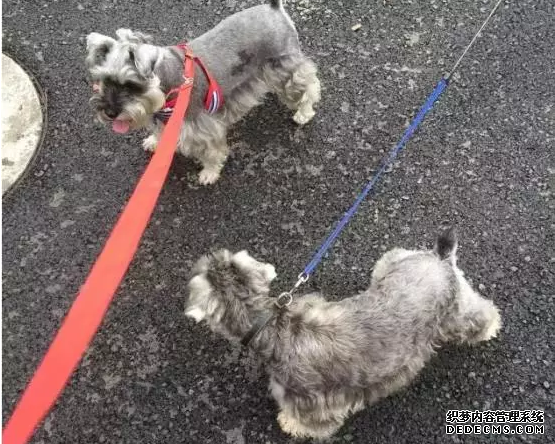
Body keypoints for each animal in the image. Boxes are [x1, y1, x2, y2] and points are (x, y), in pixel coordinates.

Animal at [85, 0, 321, 185]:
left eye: (131, 84)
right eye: (102, 80)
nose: (109, 112)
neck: (171, 80)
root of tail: (273, 8)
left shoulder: (203, 128)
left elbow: (213, 153)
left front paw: (210, 173)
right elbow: (160, 133)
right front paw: (154, 141)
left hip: (285, 68)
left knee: (310, 83)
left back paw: (304, 112)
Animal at [185, 228, 501, 439]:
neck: (272, 326)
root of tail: (439, 259)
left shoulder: (315, 404)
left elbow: (309, 423)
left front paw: (290, 424)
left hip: (455, 313)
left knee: (479, 315)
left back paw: (491, 327)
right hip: (393, 262)